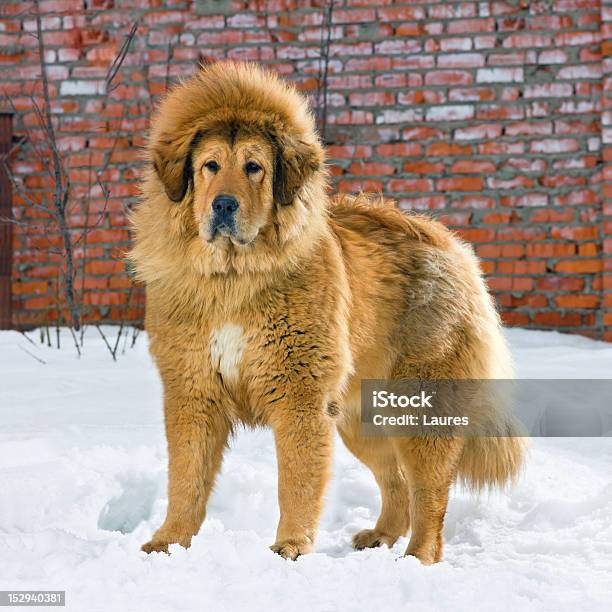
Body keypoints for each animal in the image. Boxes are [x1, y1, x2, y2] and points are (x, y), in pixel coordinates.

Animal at [130, 62, 524, 564]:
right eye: (210, 166)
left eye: (254, 167)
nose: (223, 204)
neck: (234, 278)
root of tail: (449, 242)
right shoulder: (193, 390)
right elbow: (186, 478)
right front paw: (169, 543)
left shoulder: (299, 394)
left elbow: (296, 480)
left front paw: (290, 546)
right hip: (361, 418)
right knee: (395, 481)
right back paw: (380, 536)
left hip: (418, 406)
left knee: (429, 493)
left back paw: (417, 558)